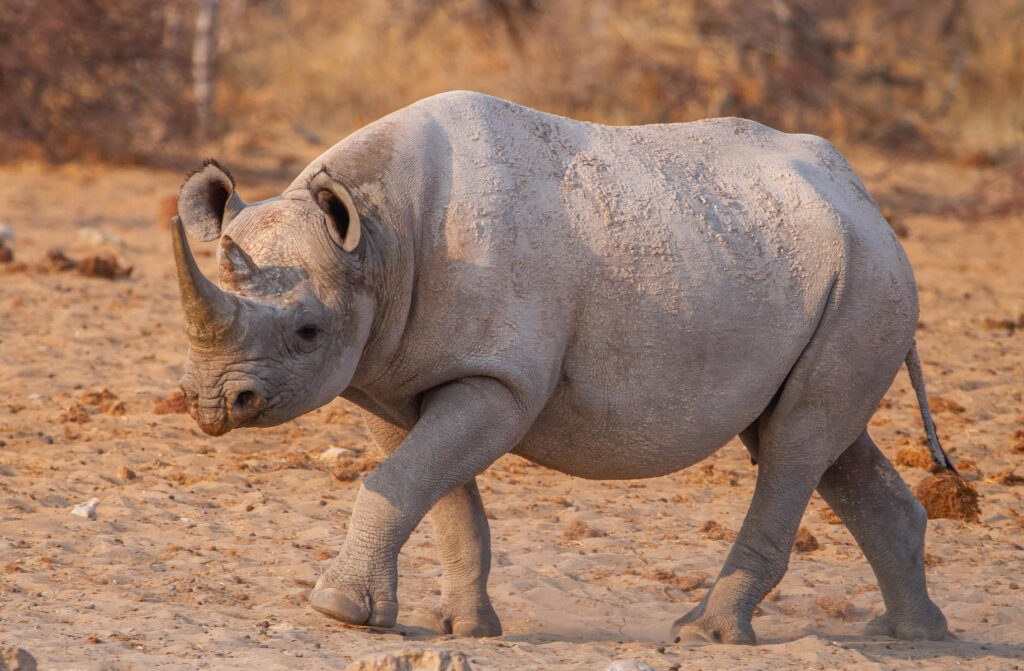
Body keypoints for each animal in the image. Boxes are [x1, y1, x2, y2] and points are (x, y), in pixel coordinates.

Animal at [174, 90, 950, 647]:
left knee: (794, 446)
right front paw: (463, 629)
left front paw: (337, 611)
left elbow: (399, 483)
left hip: (867, 276)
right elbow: (433, 492)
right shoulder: (391, 378)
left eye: (308, 332)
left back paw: (703, 635)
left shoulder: (501, 379)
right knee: (820, 442)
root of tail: (868, 204)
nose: (212, 404)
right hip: (816, 266)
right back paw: (911, 635)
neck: (378, 237)